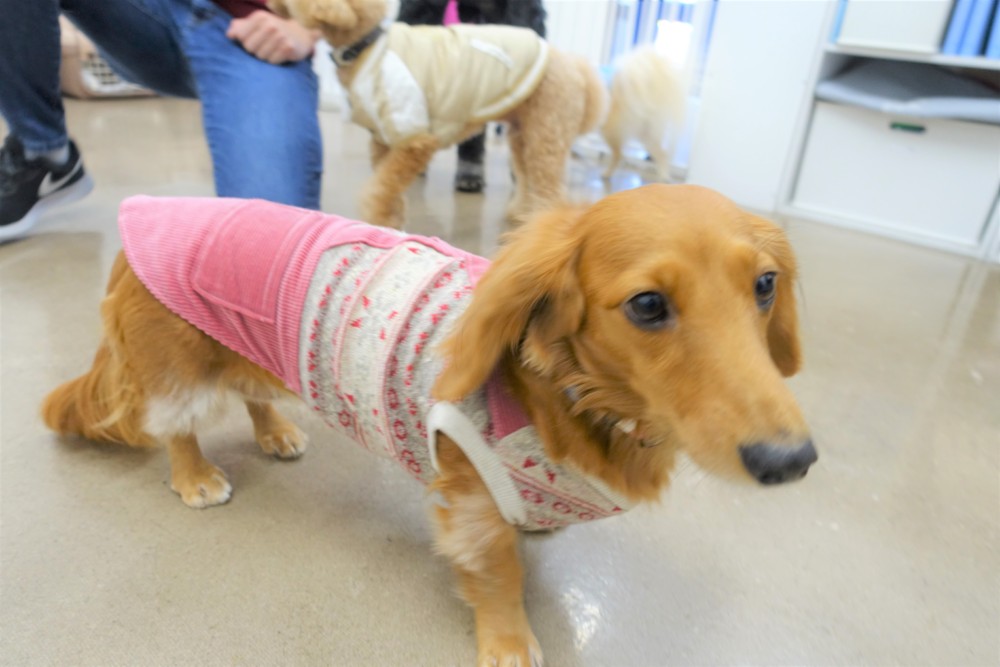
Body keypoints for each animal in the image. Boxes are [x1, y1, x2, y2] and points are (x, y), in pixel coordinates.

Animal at [42, 185, 817, 666]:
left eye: (765, 283)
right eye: (648, 304)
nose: (791, 460)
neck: (570, 395)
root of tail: (147, 214)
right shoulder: (469, 495)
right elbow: (499, 572)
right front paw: (507, 641)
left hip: (245, 346)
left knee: (250, 392)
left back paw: (275, 433)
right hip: (177, 366)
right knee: (176, 425)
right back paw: (196, 476)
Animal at [270, 0, 606, 228]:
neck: (368, 45)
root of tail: (573, 64)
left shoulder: (415, 140)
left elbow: (380, 188)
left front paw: (378, 220)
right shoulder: (383, 142)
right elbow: (388, 186)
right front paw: (392, 221)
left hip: (547, 133)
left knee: (549, 185)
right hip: (525, 133)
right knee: (527, 176)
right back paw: (524, 214)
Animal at [602, 45, 686, 181]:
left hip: (610, 131)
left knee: (618, 154)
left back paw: (607, 173)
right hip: (646, 135)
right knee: (662, 154)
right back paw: (664, 177)